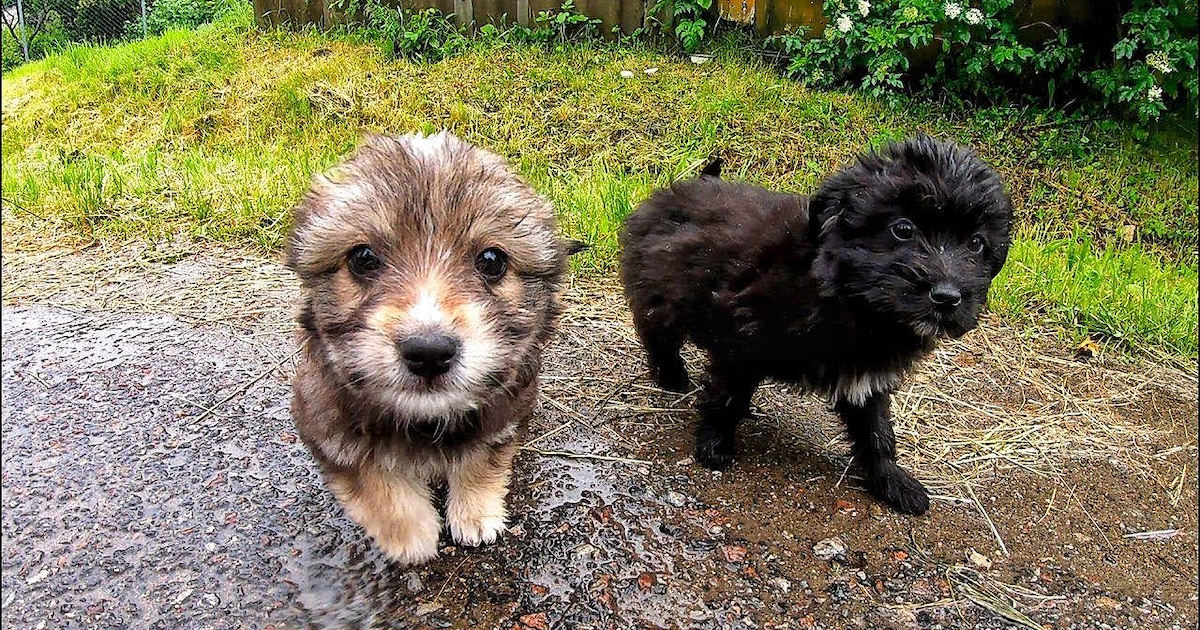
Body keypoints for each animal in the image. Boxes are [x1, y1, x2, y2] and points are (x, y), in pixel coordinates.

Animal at [285, 130, 576, 561]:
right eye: (363, 257)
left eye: (492, 260)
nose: (428, 352)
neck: (425, 422)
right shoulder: (327, 426)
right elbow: (377, 484)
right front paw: (412, 537)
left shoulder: (503, 416)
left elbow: (479, 459)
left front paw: (475, 514)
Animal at [619, 135, 1012, 513]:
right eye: (903, 229)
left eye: (976, 244)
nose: (947, 296)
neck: (852, 297)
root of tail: (684, 187)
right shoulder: (740, 341)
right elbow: (726, 396)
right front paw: (714, 444)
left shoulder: (866, 378)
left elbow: (877, 432)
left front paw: (891, 481)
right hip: (662, 293)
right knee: (656, 333)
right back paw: (671, 375)